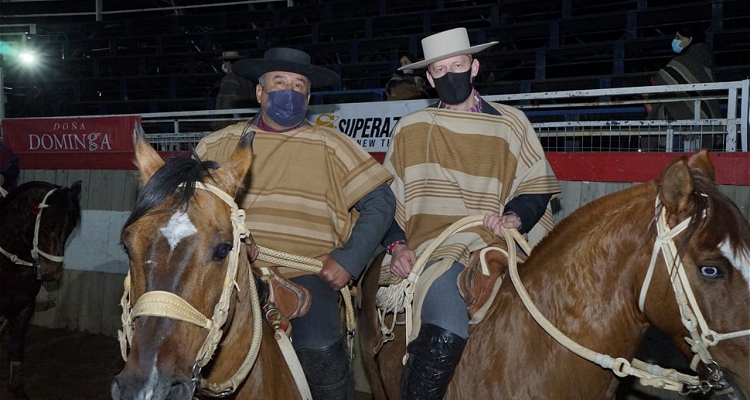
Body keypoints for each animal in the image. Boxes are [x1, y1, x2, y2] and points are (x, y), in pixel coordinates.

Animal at [0, 180, 82, 398]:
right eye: (46, 226)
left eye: (70, 228)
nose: (52, 273)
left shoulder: (23, 308)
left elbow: (16, 348)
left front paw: (17, 389)